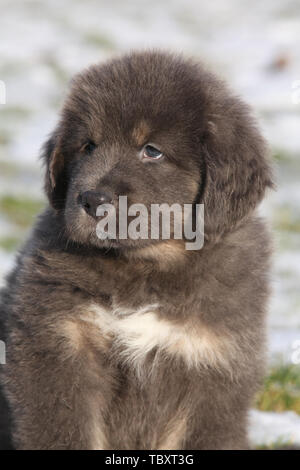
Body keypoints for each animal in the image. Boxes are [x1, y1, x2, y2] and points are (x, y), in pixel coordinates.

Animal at [0, 49, 272, 450]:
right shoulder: (58, 349)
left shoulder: (211, 368)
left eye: (152, 151)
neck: (145, 266)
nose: (92, 199)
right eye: (88, 145)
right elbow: (63, 432)